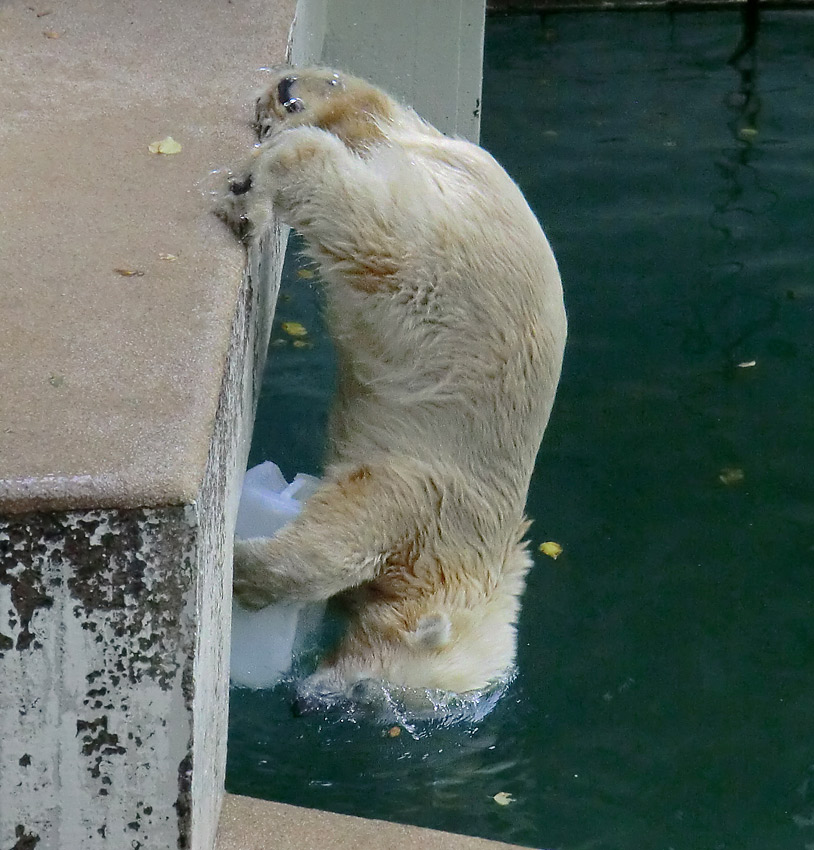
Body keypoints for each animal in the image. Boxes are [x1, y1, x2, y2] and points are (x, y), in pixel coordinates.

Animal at [220, 66, 572, 700]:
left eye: (370, 698)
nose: (304, 704)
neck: (479, 562)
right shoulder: (428, 501)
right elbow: (349, 532)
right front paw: (246, 569)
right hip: (434, 262)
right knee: (360, 222)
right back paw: (266, 180)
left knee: (371, 121)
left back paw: (301, 97)